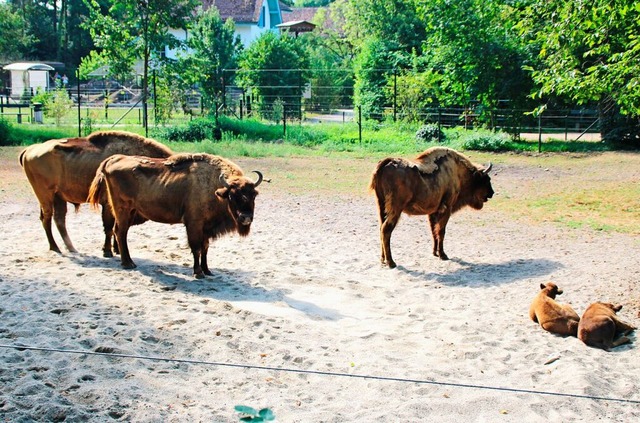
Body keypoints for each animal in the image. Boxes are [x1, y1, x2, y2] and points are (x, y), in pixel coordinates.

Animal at [19, 130, 172, 255]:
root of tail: (30, 149)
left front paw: (116, 250)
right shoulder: (109, 205)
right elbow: (110, 228)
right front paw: (108, 251)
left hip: (59, 197)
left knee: (59, 220)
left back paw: (71, 248)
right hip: (45, 196)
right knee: (47, 218)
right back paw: (55, 247)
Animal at [87, 152, 262, 278]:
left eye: (253, 195)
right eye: (232, 195)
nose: (246, 217)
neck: (214, 188)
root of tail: (113, 158)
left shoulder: (206, 228)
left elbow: (205, 248)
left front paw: (207, 270)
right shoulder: (194, 224)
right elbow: (196, 248)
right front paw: (198, 273)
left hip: (129, 212)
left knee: (118, 231)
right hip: (123, 210)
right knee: (120, 232)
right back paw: (128, 263)